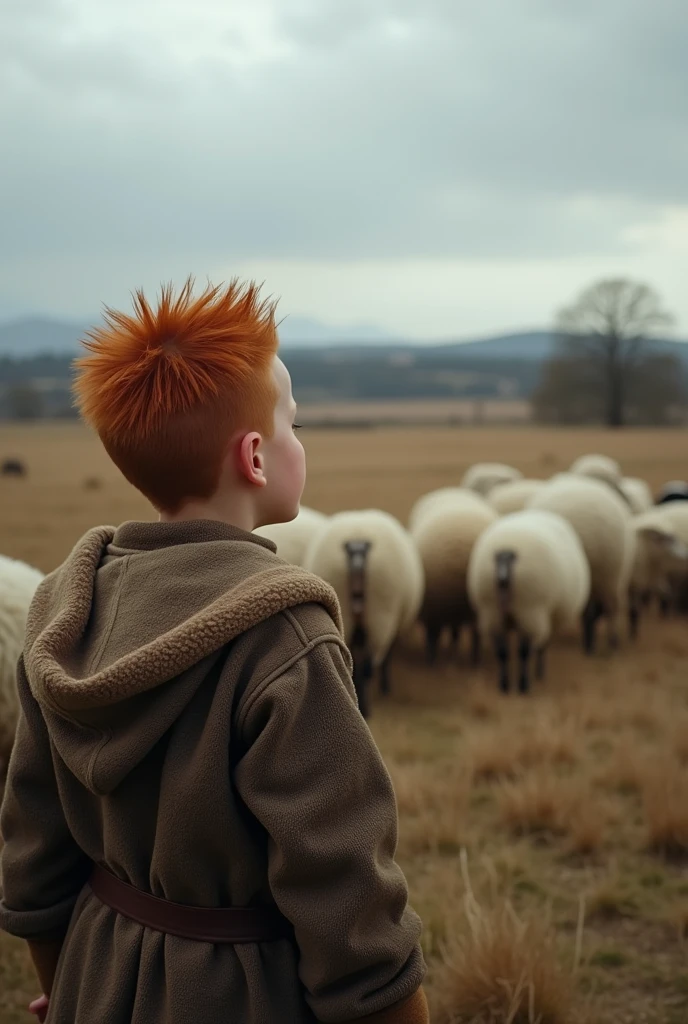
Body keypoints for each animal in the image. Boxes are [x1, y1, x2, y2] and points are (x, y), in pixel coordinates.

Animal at [303, 507, 421, 716]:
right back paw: (366, 709)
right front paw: (385, 687)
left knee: (356, 665)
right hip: (380, 613)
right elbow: (384, 658)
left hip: (346, 612)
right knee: (367, 665)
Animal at [466, 507, 589, 692]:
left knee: (541, 645)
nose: (501, 579)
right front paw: (504, 684)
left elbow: (523, 653)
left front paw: (523, 684)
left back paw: (539, 671)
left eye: (512, 558)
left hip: (541, 614)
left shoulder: (529, 617)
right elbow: (502, 653)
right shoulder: (495, 618)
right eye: (497, 559)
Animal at [528, 473, 638, 655]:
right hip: (610, 573)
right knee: (611, 606)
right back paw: (607, 642)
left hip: (596, 574)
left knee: (596, 609)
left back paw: (591, 642)